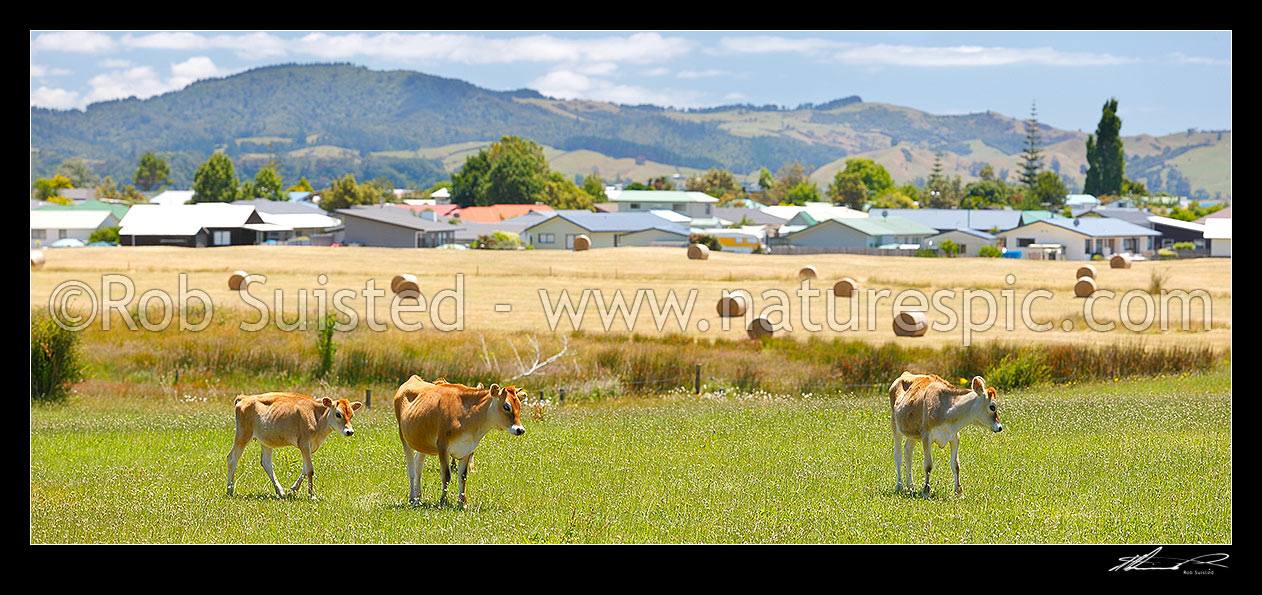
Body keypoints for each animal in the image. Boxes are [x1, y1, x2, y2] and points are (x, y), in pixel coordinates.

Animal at [225, 396, 360, 497]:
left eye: (352, 415)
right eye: (338, 414)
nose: (350, 431)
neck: (317, 417)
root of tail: (244, 398)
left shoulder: (309, 448)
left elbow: (305, 470)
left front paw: (294, 489)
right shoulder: (304, 444)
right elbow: (310, 470)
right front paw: (312, 495)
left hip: (265, 441)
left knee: (266, 463)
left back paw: (280, 491)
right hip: (243, 435)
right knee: (232, 458)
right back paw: (230, 490)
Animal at [391, 376, 524, 507]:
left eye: (519, 406)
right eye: (506, 406)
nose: (520, 429)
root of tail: (414, 378)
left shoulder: (468, 447)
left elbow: (463, 476)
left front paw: (462, 501)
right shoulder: (443, 445)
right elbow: (446, 476)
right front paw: (443, 501)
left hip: (422, 443)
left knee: (418, 467)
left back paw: (418, 497)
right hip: (403, 437)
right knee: (411, 469)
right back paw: (412, 498)